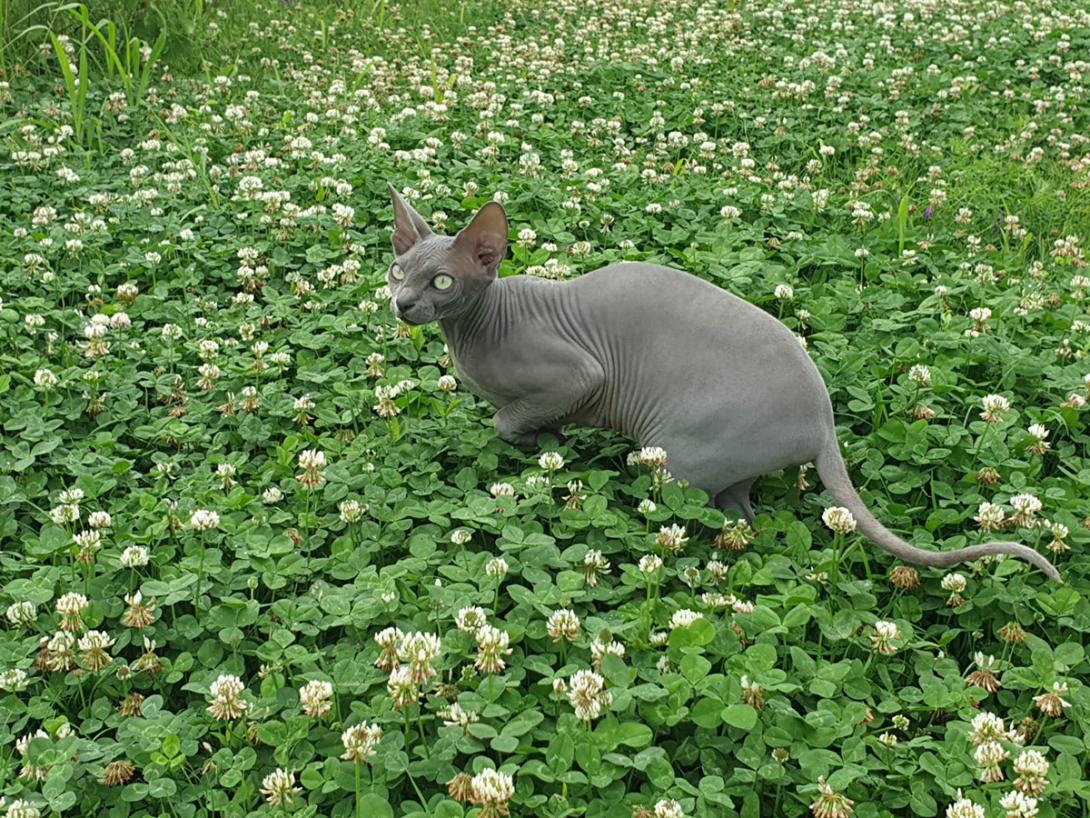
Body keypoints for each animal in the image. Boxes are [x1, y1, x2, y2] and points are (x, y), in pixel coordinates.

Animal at [385, 185, 1063, 584]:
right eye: (396, 270)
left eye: (442, 282)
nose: (402, 304)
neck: (475, 332)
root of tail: (824, 423)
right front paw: (544, 443)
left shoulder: (580, 375)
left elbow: (510, 418)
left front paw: (533, 440)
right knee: (744, 515)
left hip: (675, 455)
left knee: (699, 511)